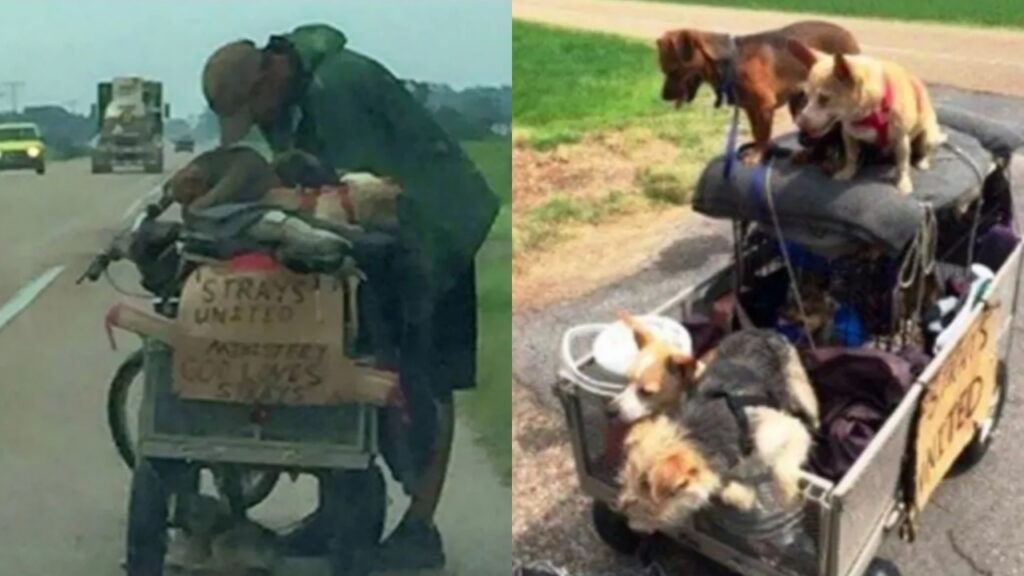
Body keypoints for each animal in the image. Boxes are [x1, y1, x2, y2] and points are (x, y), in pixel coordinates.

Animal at [610, 330, 819, 532]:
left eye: (647, 489)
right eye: (624, 480)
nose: (627, 521)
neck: (701, 431)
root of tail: (760, 331)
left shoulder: (786, 430)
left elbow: (782, 468)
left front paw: (788, 497)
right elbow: (721, 484)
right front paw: (743, 497)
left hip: (801, 389)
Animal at [655, 20, 856, 163]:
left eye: (673, 70)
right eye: (663, 70)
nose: (663, 97)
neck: (730, 62)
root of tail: (848, 33)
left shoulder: (764, 106)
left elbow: (763, 133)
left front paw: (757, 155)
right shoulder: (751, 108)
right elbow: (756, 133)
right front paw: (759, 150)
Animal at [786, 40, 946, 193]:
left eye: (824, 99)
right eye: (806, 97)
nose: (799, 122)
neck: (869, 111)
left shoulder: (901, 140)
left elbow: (902, 165)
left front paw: (903, 183)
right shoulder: (848, 135)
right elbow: (851, 157)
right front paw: (847, 173)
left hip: (928, 138)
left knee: (926, 151)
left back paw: (923, 162)